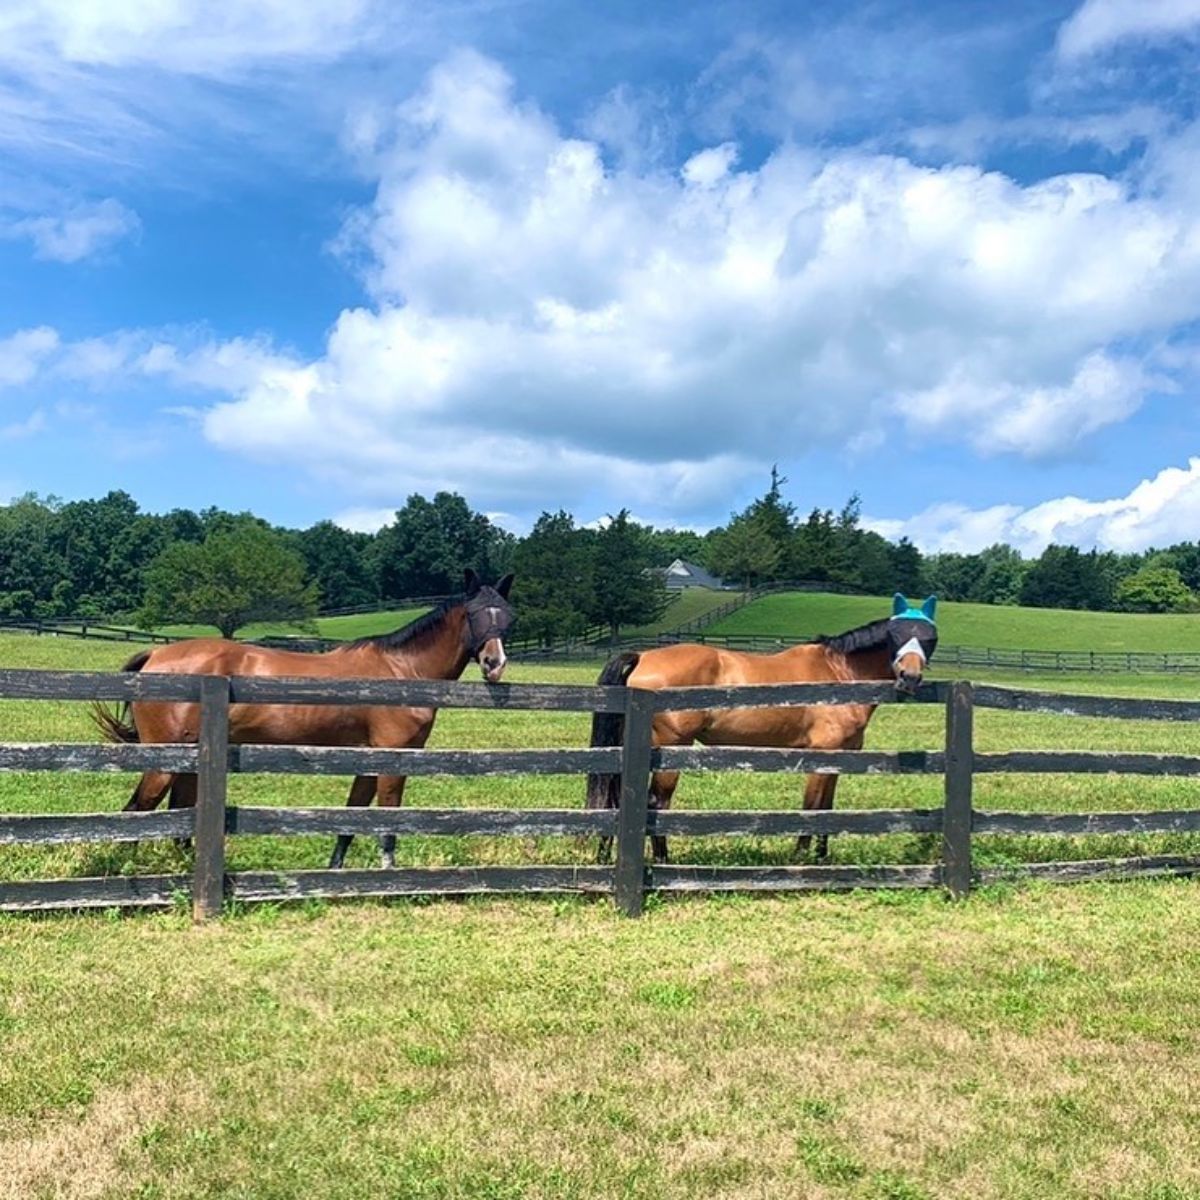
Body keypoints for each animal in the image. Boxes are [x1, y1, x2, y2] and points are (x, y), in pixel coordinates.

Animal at [97, 566, 516, 868]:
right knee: (139, 810)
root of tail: (155, 655)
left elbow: (352, 817)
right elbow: (387, 822)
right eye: (475, 614)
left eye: (507, 615)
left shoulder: (367, 758)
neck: (401, 672)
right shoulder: (393, 758)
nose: (494, 663)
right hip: (162, 762)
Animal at [585, 597, 940, 864]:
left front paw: (821, 859)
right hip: (672, 749)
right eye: (896, 635)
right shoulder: (821, 755)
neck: (839, 674)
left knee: (617, 796)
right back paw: (663, 861)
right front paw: (799, 859)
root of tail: (642, 656)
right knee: (656, 802)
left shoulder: (840, 758)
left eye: (929, 638)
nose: (909, 677)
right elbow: (811, 807)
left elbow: (827, 807)